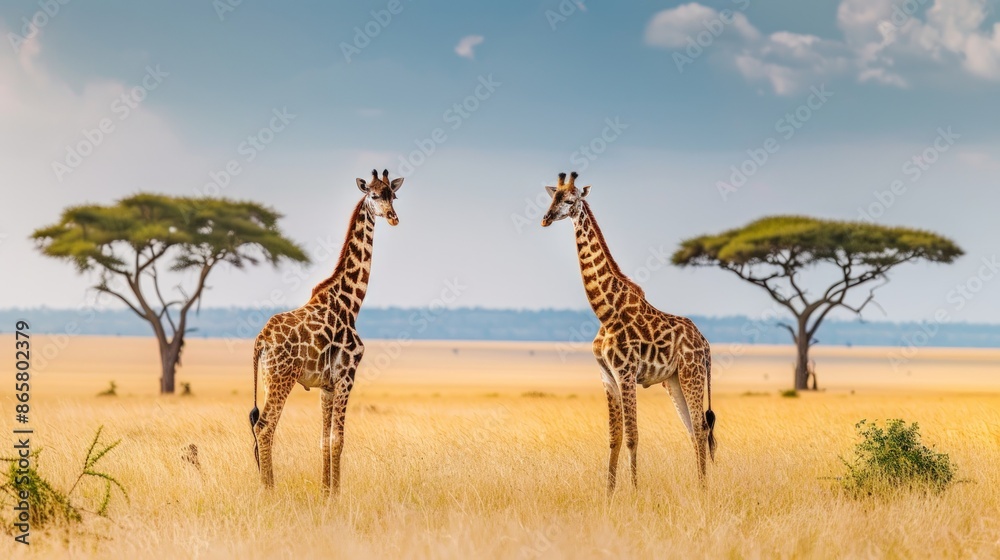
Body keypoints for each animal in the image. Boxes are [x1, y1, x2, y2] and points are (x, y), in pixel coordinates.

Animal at [249, 169, 403, 494]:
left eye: (393, 195)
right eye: (373, 195)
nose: (393, 217)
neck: (351, 302)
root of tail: (261, 340)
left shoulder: (326, 386)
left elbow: (323, 440)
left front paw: (325, 492)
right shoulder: (347, 377)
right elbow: (338, 440)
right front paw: (337, 496)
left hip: (268, 380)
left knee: (261, 427)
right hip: (282, 379)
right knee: (265, 427)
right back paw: (269, 491)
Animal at [540, 171, 716, 493]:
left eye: (570, 200)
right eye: (552, 198)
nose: (545, 219)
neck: (605, 311)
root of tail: (706, 343)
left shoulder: (626, 373)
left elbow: (633, 436)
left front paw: (634, 492)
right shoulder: (607, 377)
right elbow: (615, 438)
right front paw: (609, 493)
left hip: (692, 374)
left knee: (700, 428)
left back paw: (703, 490)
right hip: (673, 380)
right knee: (692, 429)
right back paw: (699, 487)